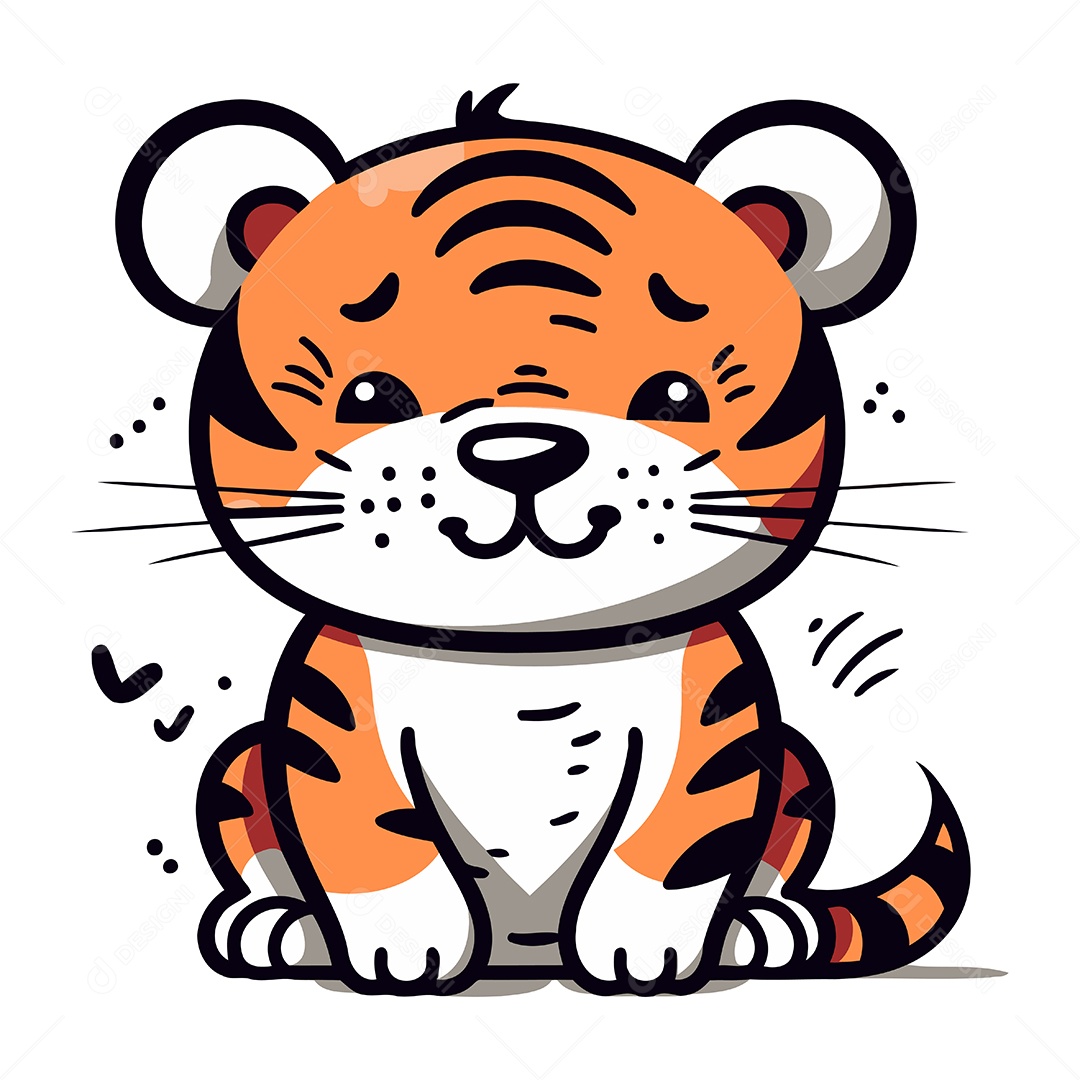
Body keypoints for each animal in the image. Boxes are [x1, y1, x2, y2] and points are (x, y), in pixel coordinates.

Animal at [114, 85, 970, 995]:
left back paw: (762, 931)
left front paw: (646, 955)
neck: (525, 651)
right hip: (240, 764)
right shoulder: (336, 725)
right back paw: (278, 926)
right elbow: (378, 844)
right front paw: (399, 954)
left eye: (676, 396)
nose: (522, 455)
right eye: (368, 394)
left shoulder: (716, 725)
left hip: (796, 762)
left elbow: (673, 847)